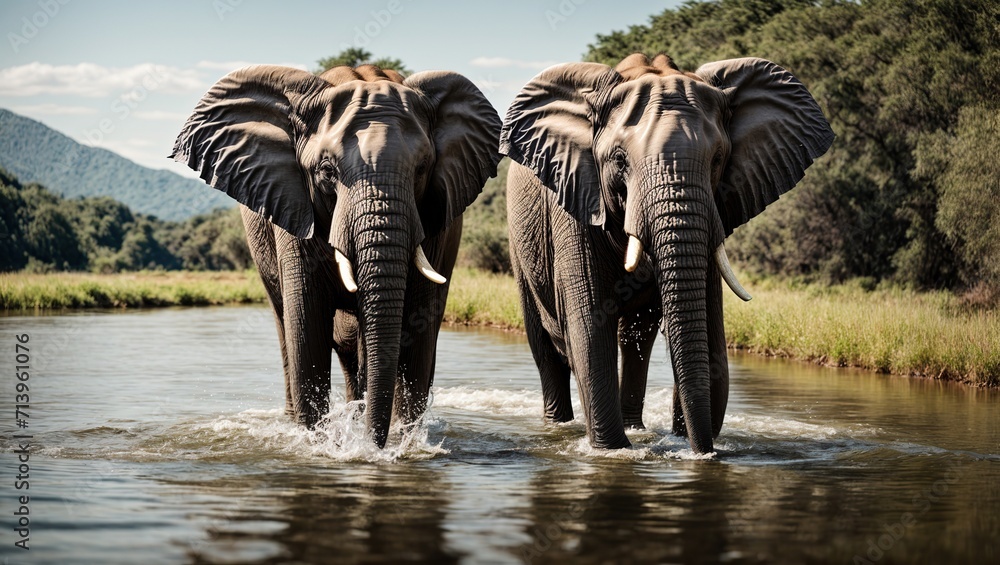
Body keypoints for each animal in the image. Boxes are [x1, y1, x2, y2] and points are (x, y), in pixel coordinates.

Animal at [170, 64, 501, 447]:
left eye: (421, 168)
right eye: (327, 171)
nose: (374, 446)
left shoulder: (437, 225)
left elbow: (418, 330)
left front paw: (402, 445)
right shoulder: (293, 207)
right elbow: (307, 330)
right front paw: (321, 445)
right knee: (289, 329)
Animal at [500, 53, 834, 454]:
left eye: (718, 159)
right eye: (619, 160)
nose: (704, 452)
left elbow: (710, 336)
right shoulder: (575, 201)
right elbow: (590, 331)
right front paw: (614, 451)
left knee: (637, 338)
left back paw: (637, 426)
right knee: (547, 349)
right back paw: (559, 425)